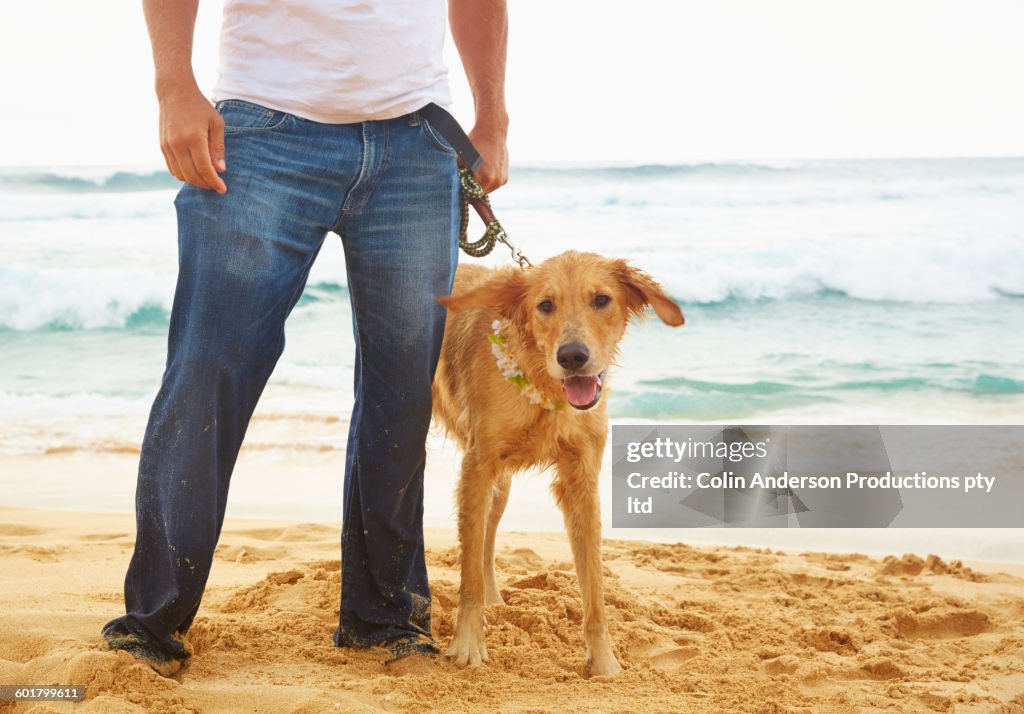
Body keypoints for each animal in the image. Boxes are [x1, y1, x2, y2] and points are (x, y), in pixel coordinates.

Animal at [434, 248, 688, 672]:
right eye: (545, 305)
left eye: (601, 299)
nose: (572, 356)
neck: (543, 383)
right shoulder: (477, 466)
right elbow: (467, 574)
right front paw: (467, 644)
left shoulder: (581, 481)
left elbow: (594, 586)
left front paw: (604, 663)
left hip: (500, 486)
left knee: (487, 540)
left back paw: (495, 602)